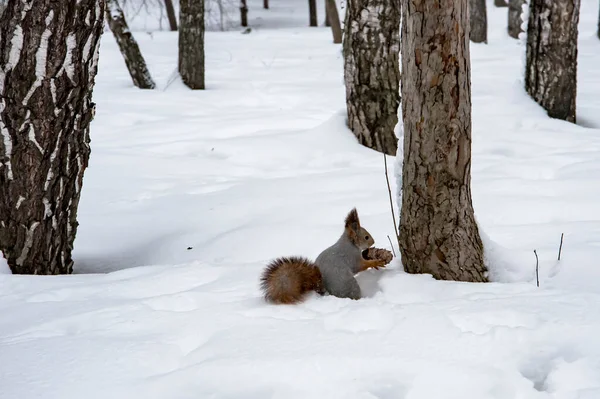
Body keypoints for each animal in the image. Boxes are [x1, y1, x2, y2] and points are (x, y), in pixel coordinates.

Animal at [256, 208, 390, 304]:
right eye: (366, 237)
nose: (373, 242)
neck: (349, 243)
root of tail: (321, 286)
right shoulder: (352, 257)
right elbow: (360, 266)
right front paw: (376, 262)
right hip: (350, 285)